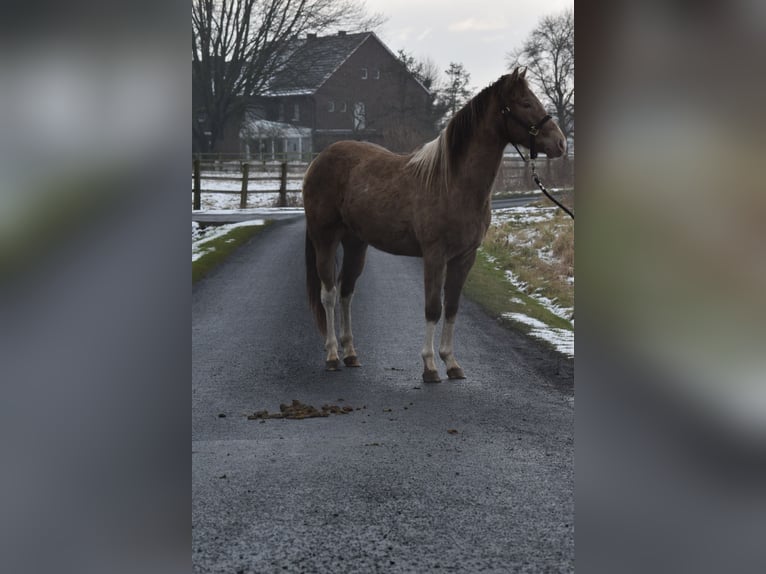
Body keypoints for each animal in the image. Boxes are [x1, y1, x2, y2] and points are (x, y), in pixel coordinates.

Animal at [302, 67, 567, 382]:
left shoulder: (465, 257)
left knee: (346, 292)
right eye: (525, 103)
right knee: (329, 294)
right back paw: (332, 355)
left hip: (356, 243)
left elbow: (451, 307)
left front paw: (451, 363)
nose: (561, 143)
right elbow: (432, 307)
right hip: (325, 239)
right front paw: (429, 366)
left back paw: (351, 354)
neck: (452, 183)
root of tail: (320, 159)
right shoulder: (434, 255)